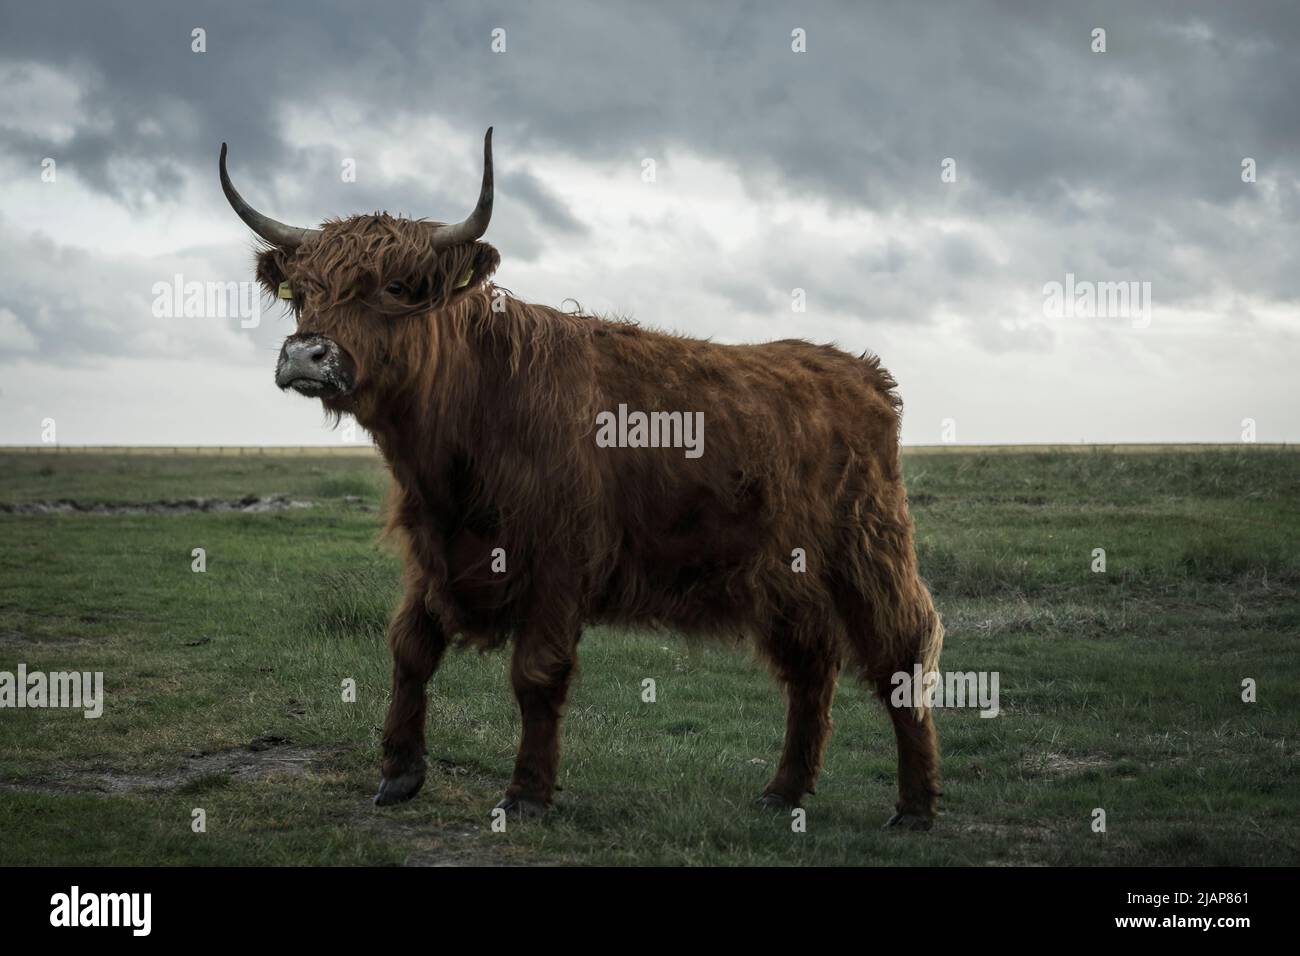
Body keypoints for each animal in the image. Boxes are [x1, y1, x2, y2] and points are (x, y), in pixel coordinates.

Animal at [219, 128, 944, 829]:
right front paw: (399, 772)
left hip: (868, 552)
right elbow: (410, 648)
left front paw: (527, 794)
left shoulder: (560, 558)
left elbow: (537, 673)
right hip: (785, 575)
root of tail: (855, 368)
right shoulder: (434, 551)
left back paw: (914, 806)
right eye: (304, 292)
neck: (468, 423)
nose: (306, 354)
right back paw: (783, 791)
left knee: (900, 656)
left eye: (395, 288)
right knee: (811, 668)